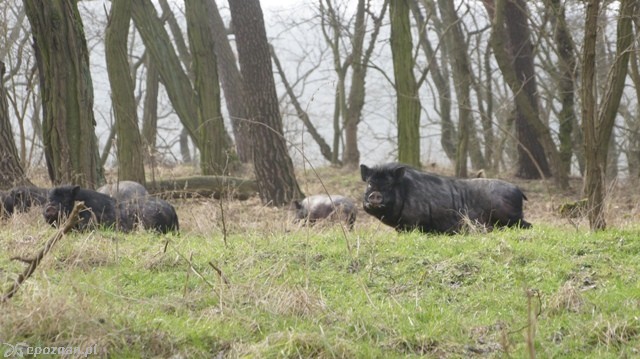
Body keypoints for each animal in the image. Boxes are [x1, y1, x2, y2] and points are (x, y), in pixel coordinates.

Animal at [360, 163, 528, 233]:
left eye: (389, 184)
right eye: (369, 183)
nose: (375, 194)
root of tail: (519, 191)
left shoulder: (412, 224)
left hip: (511, 217)